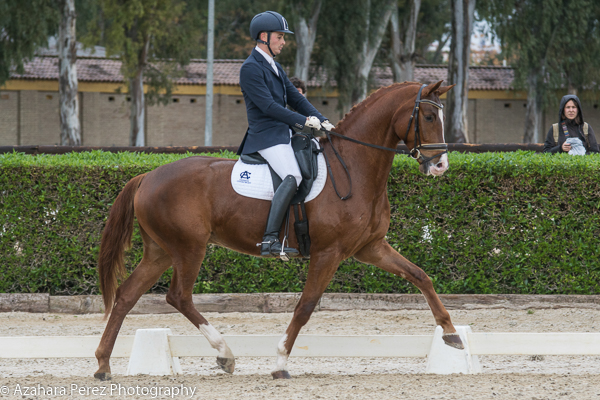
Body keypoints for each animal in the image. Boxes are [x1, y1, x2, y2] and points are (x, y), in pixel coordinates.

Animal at [94, 79, 462, 380]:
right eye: (429, 117)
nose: (440, 165)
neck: (354, 168)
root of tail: (147, 176)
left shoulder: (370, 247)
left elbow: (420, 276)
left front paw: (451, 333)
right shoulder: (329, 252)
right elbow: (306, 306)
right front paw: (281, 363)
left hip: (161, 251)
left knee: (126, 295)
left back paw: (103, 364)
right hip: (188, 248)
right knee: (179, 296)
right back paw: (225, 355)